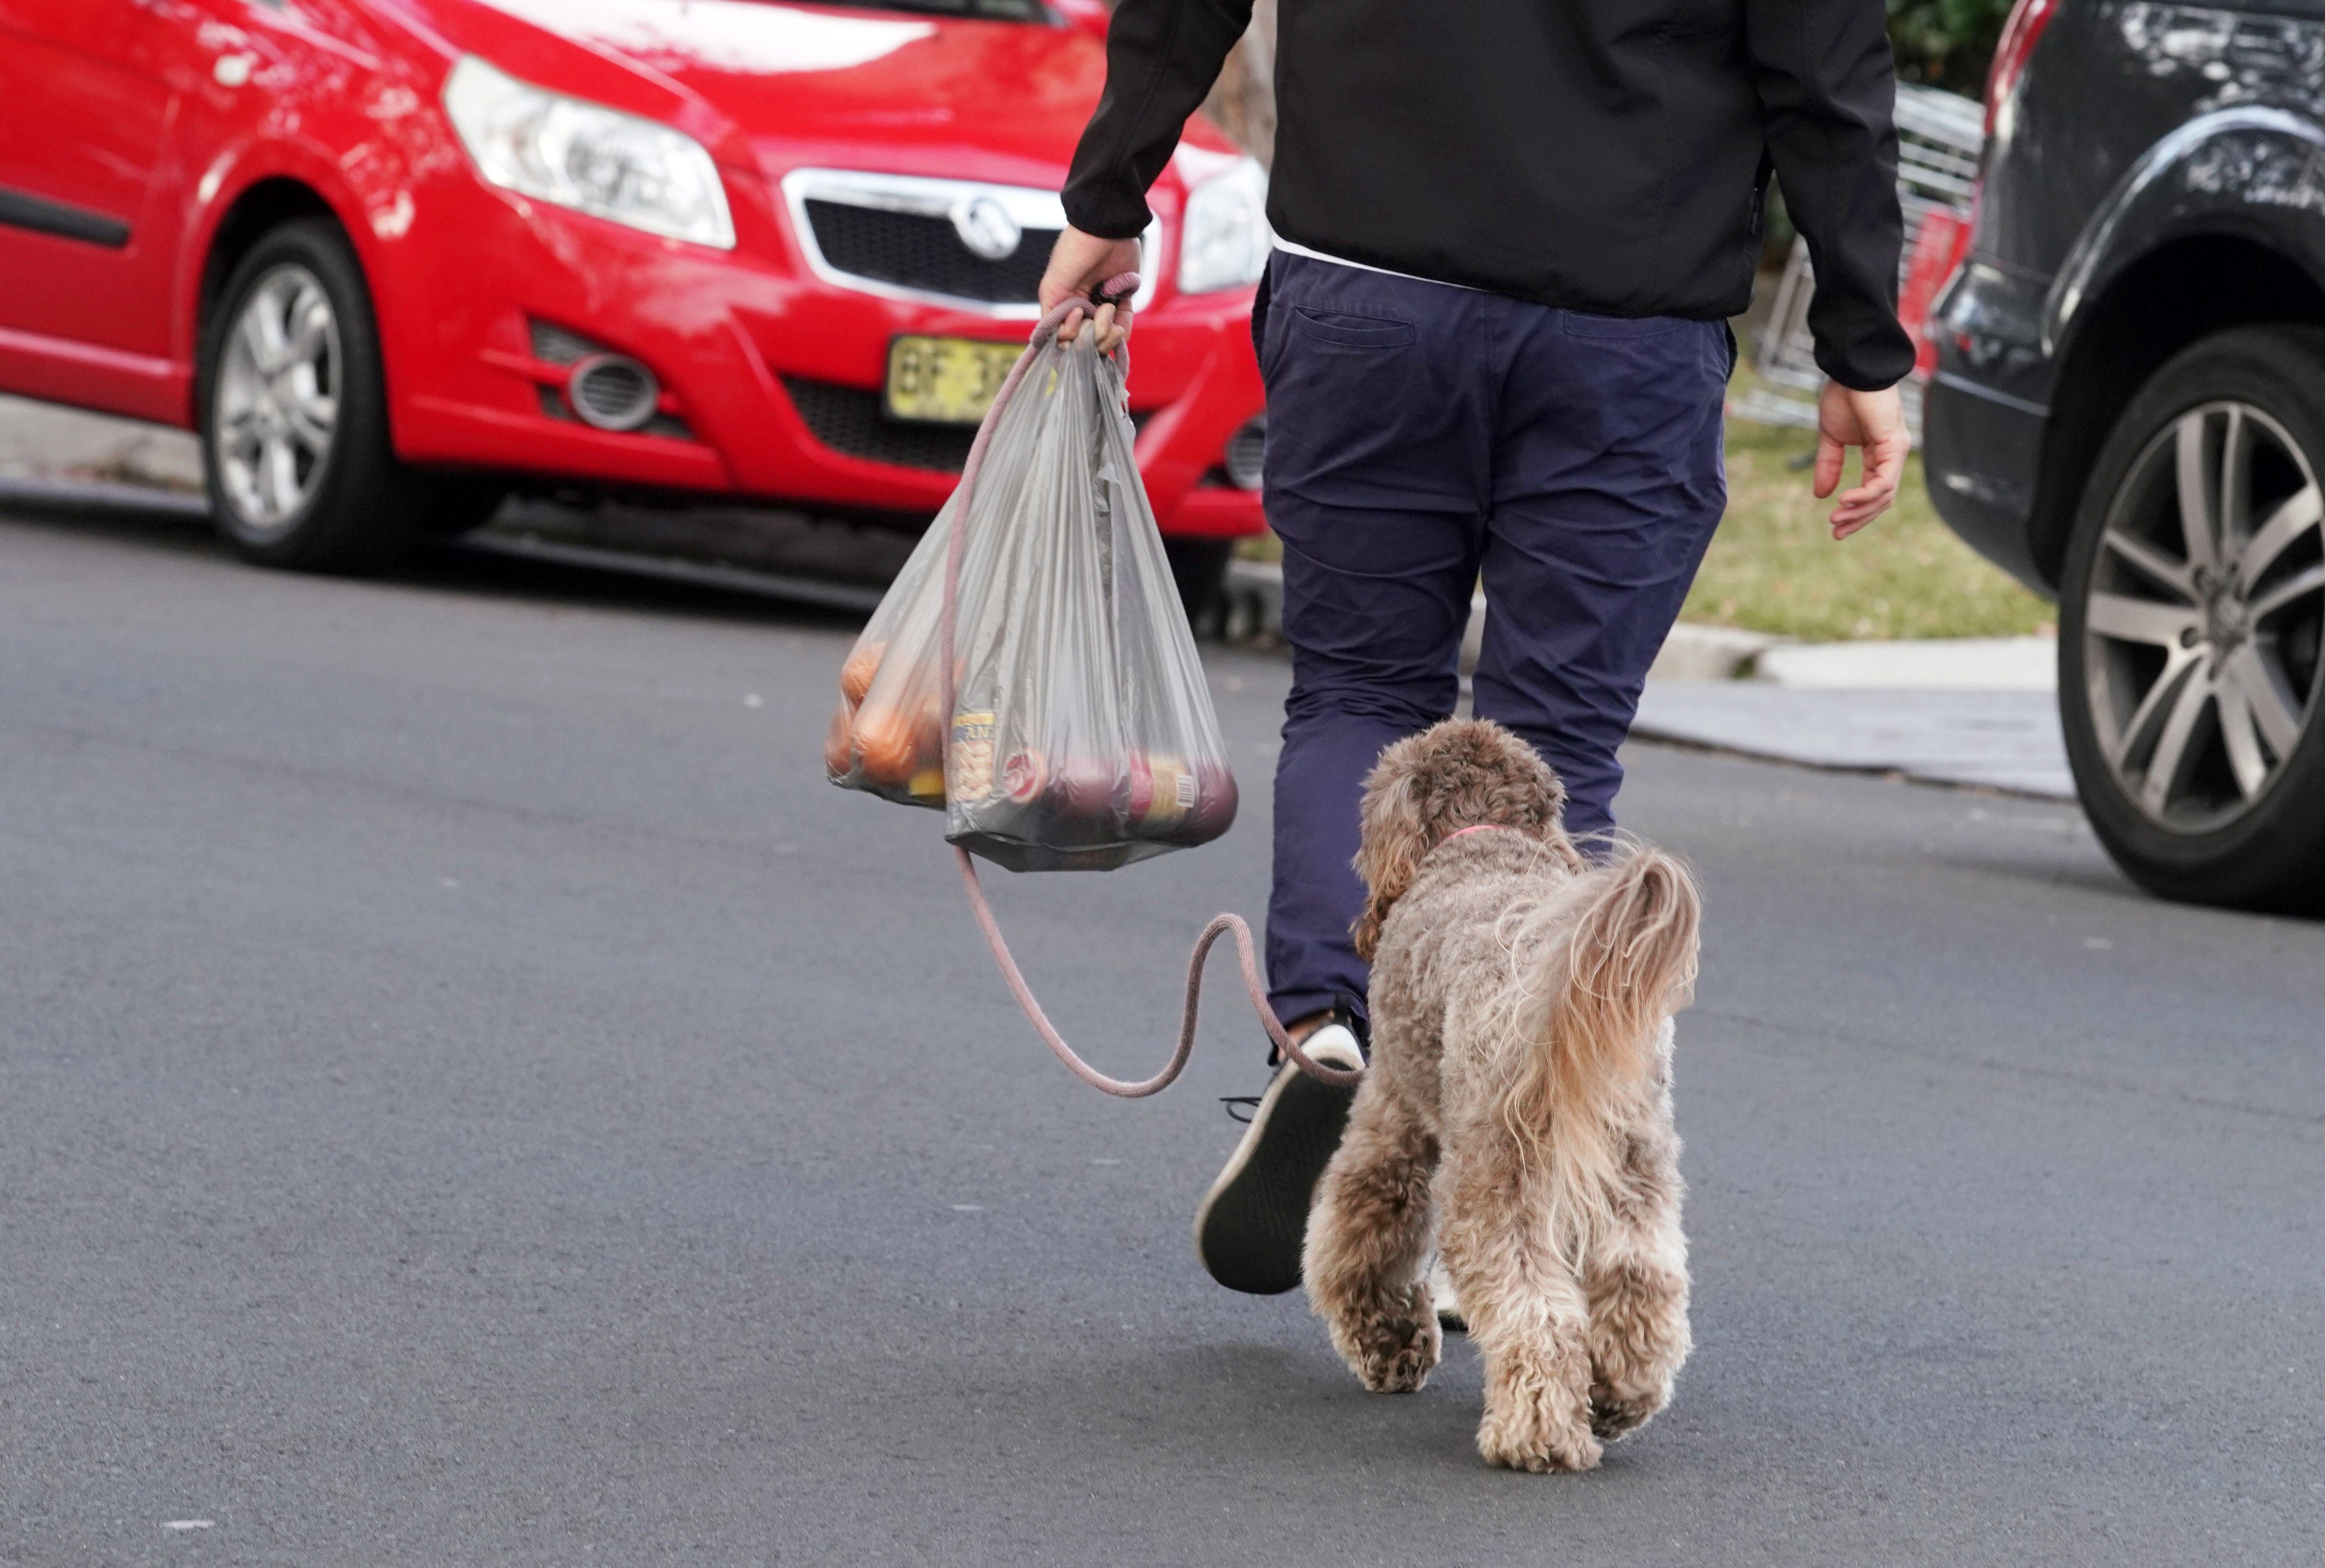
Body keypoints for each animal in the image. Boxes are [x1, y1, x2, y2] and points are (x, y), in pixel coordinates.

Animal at [1302, 715, 1702, 1477]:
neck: (1480, 839)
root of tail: (1551, 976)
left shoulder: (1392, 1111)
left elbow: (1364, 1231)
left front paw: (1388, 1341)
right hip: (1634, 1164)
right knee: (1641, 1282)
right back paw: (1615, 1397)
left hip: (1493, 1173)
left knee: (1537, 1314)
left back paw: (1537, 1436)